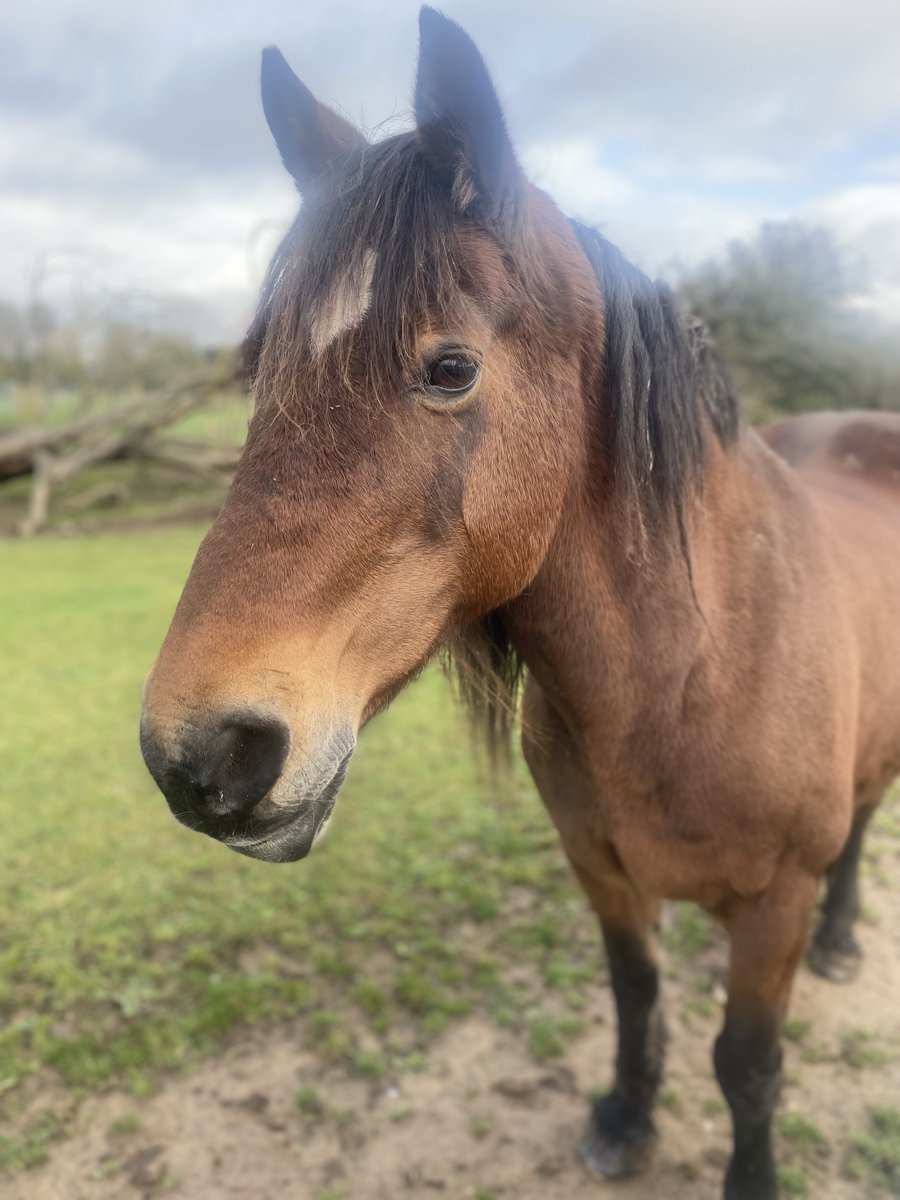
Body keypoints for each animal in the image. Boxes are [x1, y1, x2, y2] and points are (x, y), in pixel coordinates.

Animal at [141, 11, 900, 1200]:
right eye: (255, 370)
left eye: (450, 367)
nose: (199, 756)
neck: (697, 671)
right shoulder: (603, 873)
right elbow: (637, 1000)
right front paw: (625, 1120)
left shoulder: (770, 905)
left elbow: (748, 1066)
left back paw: (843, 938)